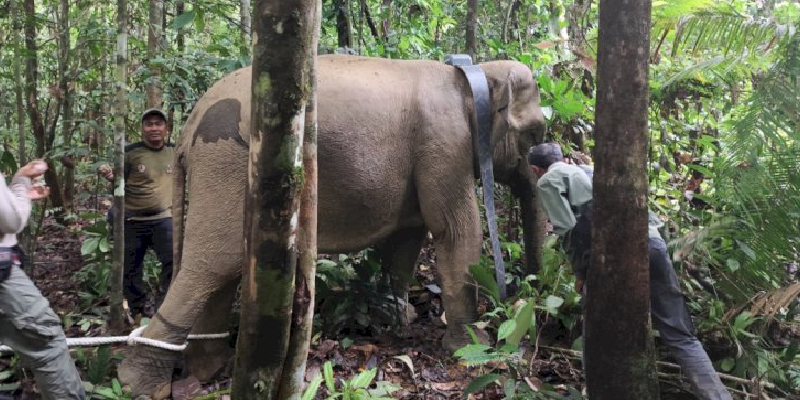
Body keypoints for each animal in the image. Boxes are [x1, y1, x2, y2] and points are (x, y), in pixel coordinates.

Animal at [119, 55, 552, 396]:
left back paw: (208, 368)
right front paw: (472, 347)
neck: (471, 73)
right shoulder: (446, 144)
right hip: (226, 163)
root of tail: (187, 127)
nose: (526, 294)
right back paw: (137, 383)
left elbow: (407, 241)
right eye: (535, 133)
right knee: (211, 265)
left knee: (219, 271)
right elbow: (455, 232)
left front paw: (401, 320)